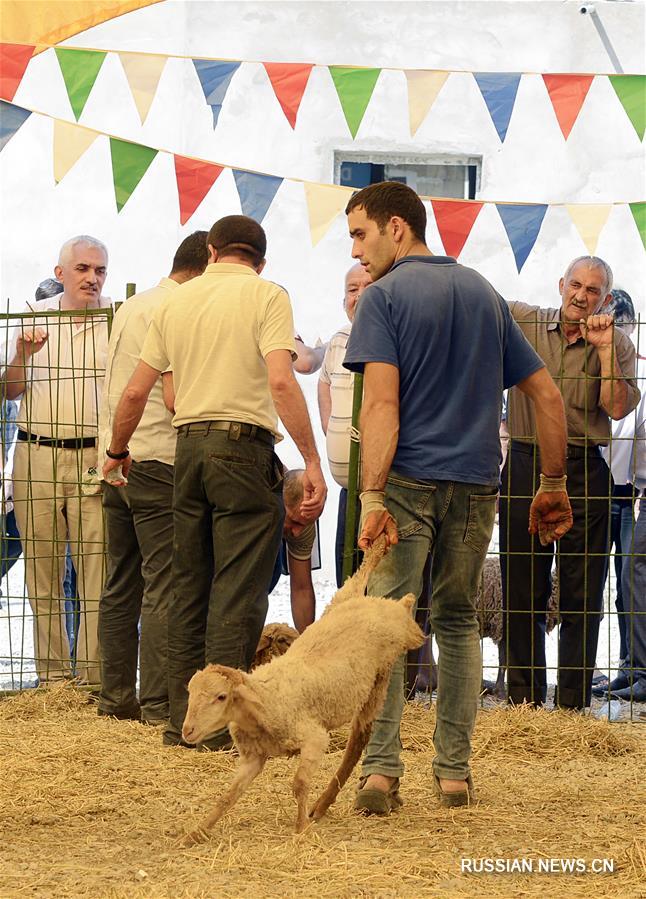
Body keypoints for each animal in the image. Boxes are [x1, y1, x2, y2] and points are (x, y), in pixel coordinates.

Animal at [180, 540, 428, 844]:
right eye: (190, 694)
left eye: (220, 697)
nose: (187, 730)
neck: (265, 700)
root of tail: (376, 604)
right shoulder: (253, 757)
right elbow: (227, 796)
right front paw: (197, 832)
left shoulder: (313, 738)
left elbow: (298, 784)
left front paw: (301, 828)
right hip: (342, 597)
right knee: (362, 571)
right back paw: (378, 547)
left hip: (385, 663)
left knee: (358, 739)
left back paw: (322, 803)